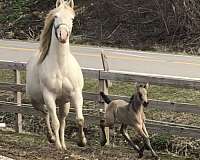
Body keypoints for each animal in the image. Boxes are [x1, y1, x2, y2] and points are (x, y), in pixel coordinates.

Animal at [26, 0, 86, 150]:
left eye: (72, 18)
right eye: (56, 17)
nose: (63, 35)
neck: (61, 66)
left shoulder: (76, 95)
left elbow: (79, 119)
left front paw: (81, 141)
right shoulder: (49, 96)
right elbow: (55, 123)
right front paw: (58, 146)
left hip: (64, 103)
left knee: (62, 119)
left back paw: (64, 144)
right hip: (37, 102)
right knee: (46, 115)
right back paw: (52, 138)